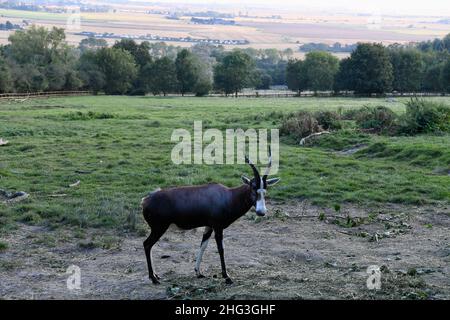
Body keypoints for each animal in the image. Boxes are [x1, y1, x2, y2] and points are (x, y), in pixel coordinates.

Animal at [141, 156, 280, 284]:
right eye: (253, 187)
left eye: (265, 189)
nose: (261, 212)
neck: (227, 196)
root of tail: (145, 200)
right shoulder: (218, 227)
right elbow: (221, 249)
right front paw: (227, 276)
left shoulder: (209, 227)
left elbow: (203, 246)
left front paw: (198, 272)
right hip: (159, 228)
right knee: (147, 244)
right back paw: (153, 278)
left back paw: (156, 276)